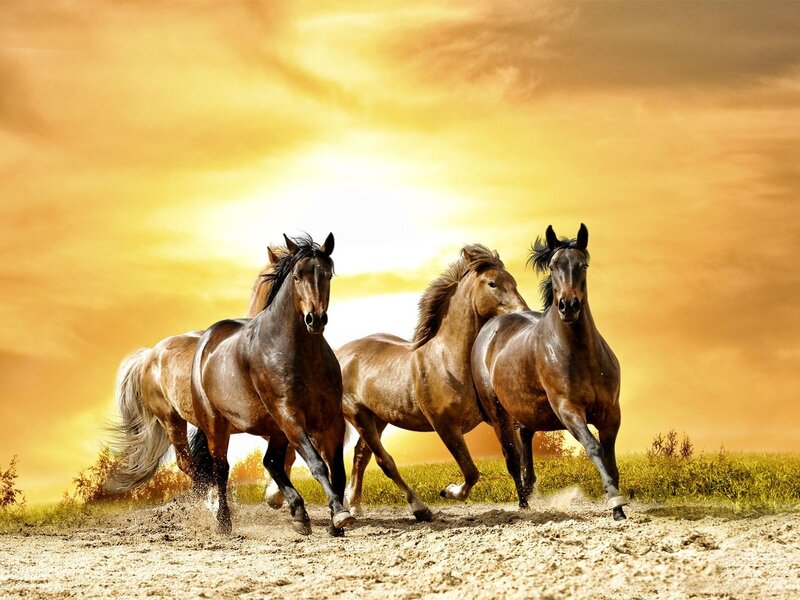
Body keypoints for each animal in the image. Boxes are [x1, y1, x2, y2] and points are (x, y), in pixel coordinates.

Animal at [190, 233, 355, 535]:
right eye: (297, 276)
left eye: (327, 274)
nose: (315, 319)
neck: (300, 354)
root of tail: (207, 340)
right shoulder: (290, 416)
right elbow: (317, 465)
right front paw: (339, 514)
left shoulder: (331, 420)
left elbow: (337, 470)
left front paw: (336, 521)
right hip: (217, 426)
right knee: (222, 469)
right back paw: (224, 522)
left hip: (275, 428)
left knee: (272, 462)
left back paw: (299, 514)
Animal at [338, 244, 528, 521]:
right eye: (492, 283)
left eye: (513, 281)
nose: (522, 313)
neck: (448, 360)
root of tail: (341, 353)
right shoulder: (444, 425)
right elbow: (471, 471)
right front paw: (448, 491)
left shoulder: (497, 418)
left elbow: (514, 459)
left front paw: (526, 504)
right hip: (358, 415)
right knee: (385, 461)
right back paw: (420, 509)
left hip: (378, 418)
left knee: (361, 455)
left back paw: (354, 504)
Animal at [471, 224, 627, 520]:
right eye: (553, 266)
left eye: (583, 265)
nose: (568, 306)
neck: (580, 354)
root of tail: (490, 327)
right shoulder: (568, 409)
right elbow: (594, 448)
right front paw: (615, 502)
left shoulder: (611, 413)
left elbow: (610, 457)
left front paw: (618, 505)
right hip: (498, 414)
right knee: (512, 458)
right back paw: (523, 504)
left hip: (528, 410)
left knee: (525, 440)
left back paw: (529, 490)